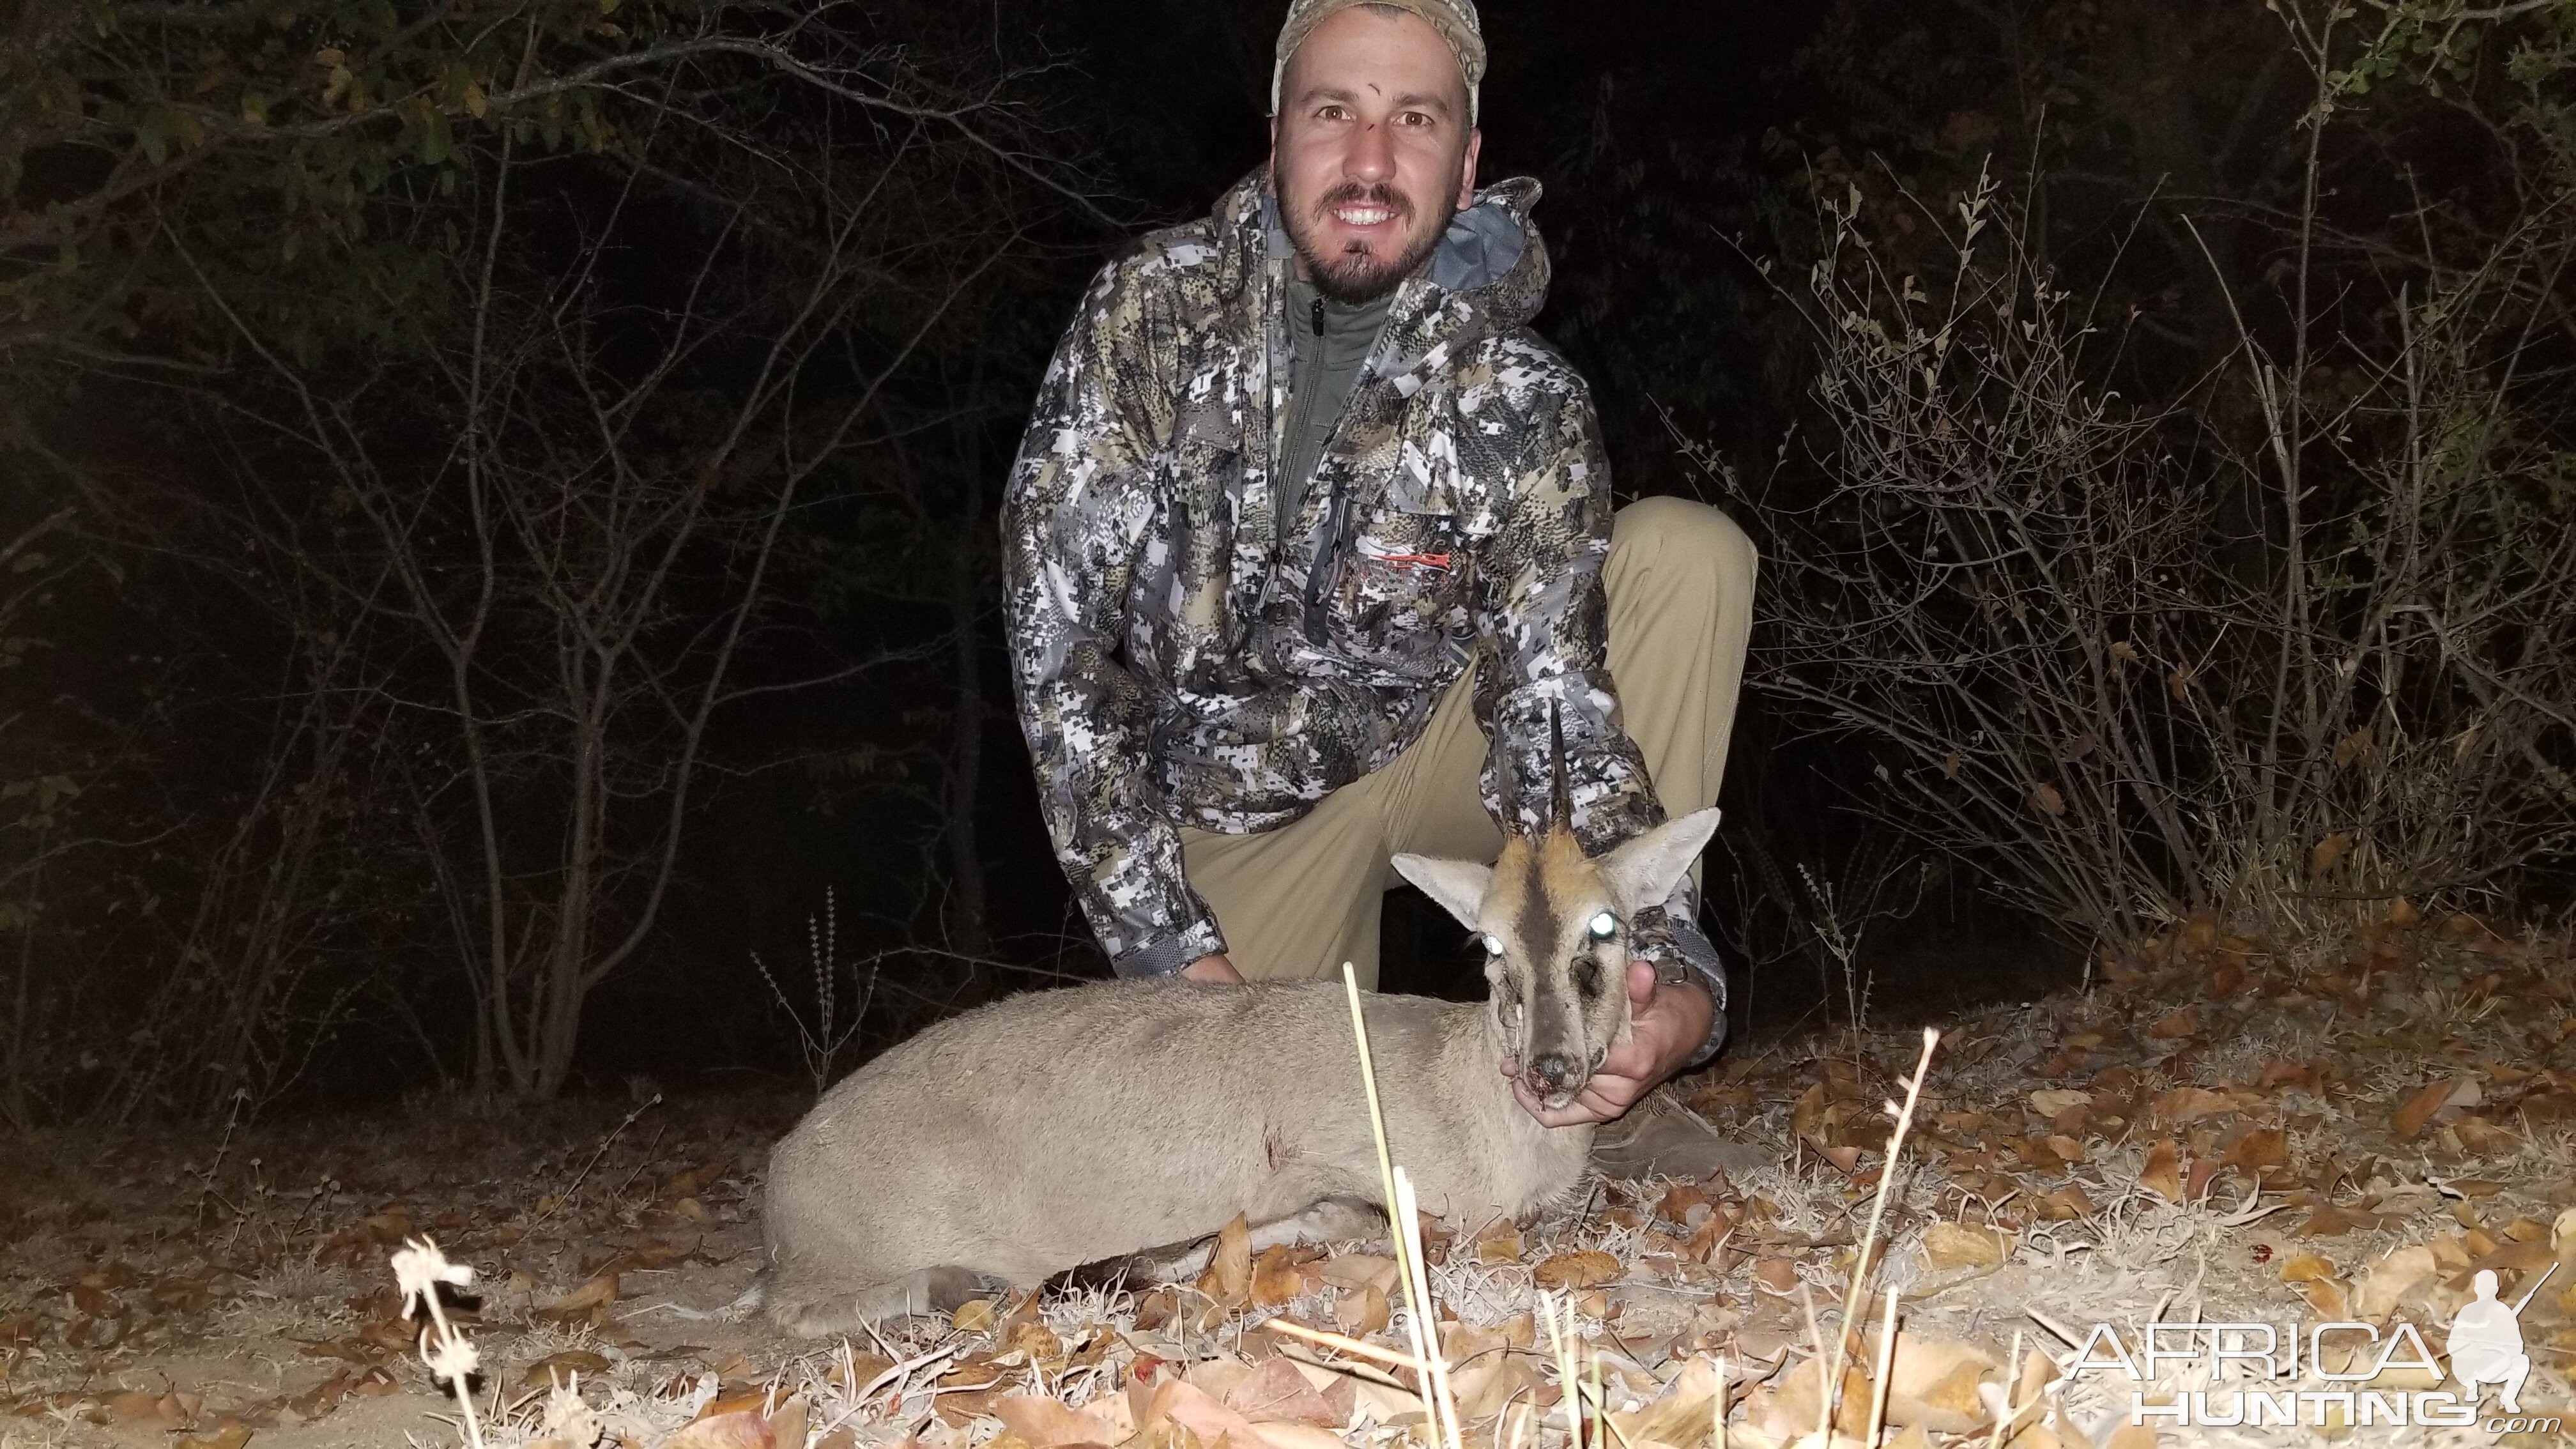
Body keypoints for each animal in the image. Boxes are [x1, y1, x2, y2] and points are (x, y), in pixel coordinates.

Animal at [752, 732, 1710, 1330]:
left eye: (1605, 927)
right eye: (1491, 942)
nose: (1550, 1067)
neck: (1462, 1089)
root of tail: (783, 1174)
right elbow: (1331, 1218)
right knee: (789, 1308)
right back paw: (963, 1284)